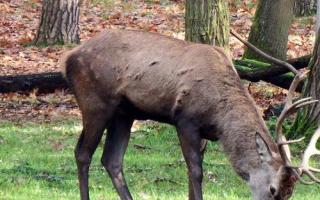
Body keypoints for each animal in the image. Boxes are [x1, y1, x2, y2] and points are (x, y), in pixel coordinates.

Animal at [60, 28, 320, 200]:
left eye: (290, 193)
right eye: (273, 189)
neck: (219, 119)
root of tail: (68, 59)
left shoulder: (203, 132)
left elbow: (189, 172)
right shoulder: (185, 120)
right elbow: (196, 172)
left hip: (125, 113)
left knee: (111, 160)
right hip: (95, 102)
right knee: (82, 153)